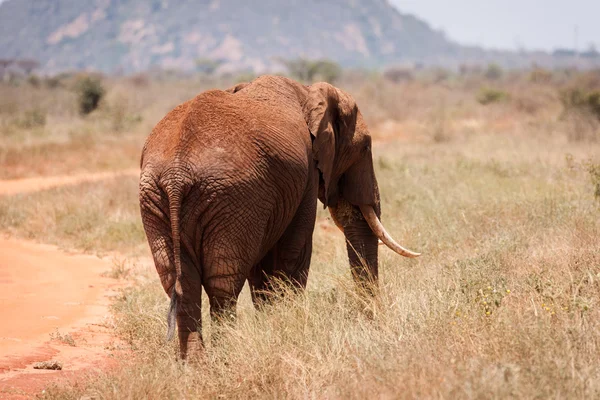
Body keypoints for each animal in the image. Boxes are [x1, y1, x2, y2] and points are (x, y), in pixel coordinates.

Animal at [138, 75, 420, 360]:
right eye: (365, 147)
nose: (371, 320)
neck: (309, 92)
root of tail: (177, 175)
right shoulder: (304, 174)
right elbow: (296, 246)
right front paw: (287, 322)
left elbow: (262, 265)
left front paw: (271, 321)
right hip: (227, 198)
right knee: (223, 279)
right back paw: (228, 351)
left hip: (161, 201)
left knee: (181, 281)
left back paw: (195, 362)